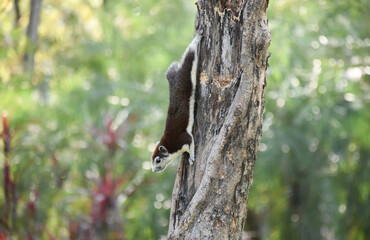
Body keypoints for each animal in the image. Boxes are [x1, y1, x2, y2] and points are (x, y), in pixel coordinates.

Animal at [151, 32, 201, 172]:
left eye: (158, 160)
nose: (154, 170)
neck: (170, 145)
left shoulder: (182, 139)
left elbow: (191, 143)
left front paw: (192, 157)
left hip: (187, 76)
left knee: (190, 55)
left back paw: (197, 38)